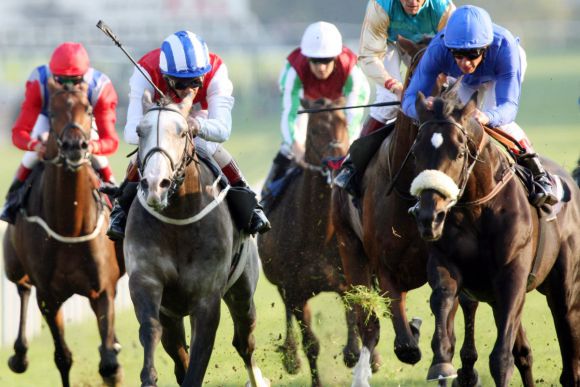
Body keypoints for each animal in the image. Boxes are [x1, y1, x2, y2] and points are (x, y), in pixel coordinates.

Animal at [1, 79, 124, 387]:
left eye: (89, 109)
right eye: (53, 111)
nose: (74, 145)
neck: (70, 226)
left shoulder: (102, 289)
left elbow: (108, 363)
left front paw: (114, 356)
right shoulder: (48, 297)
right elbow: (63, 357)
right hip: (13, 264)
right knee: (21, 287)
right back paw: (19, 355)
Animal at [125, 91, 270, 387]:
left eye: (182, 132)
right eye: (139, 131)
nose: (156, 185)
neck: (177, 222)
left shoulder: (206, 299)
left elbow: (200, 356)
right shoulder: (146, 281)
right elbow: (150, 329)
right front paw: (149, 377)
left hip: (243, 291)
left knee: (244, 342)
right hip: (172, 313)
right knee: (177, 350)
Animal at [258, 98, 376, 386]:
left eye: (343, 123)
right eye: (314, 129)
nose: (336, 161)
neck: (317, 232)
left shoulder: (346, 281)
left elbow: (355, 321)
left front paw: (356, 354)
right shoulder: (295, 291)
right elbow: (311, 343)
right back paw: (290, 356)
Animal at [410, 94, 580, 387]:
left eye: (459, 153)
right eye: (416, 152)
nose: (429, 216)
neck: (476, 209)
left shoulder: (512, 274)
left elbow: (501, 359)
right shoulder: (445, 263)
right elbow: (443, 299)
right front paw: (442, 363)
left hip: (564, 288)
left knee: (568, 354)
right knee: (523, 353)